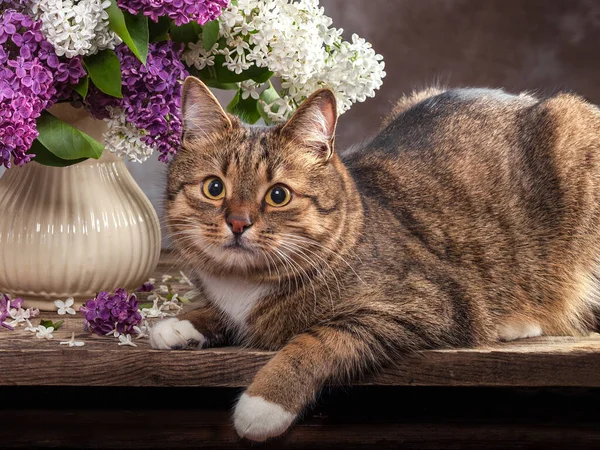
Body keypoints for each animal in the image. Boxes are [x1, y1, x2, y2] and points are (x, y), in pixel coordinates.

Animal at [150, 76, 600, 440]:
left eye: (278, 195)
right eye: (214, 188)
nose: (238, 223)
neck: (244, 284)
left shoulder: (423, 303)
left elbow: (315, 341)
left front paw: (263, 405)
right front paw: (180, 324)